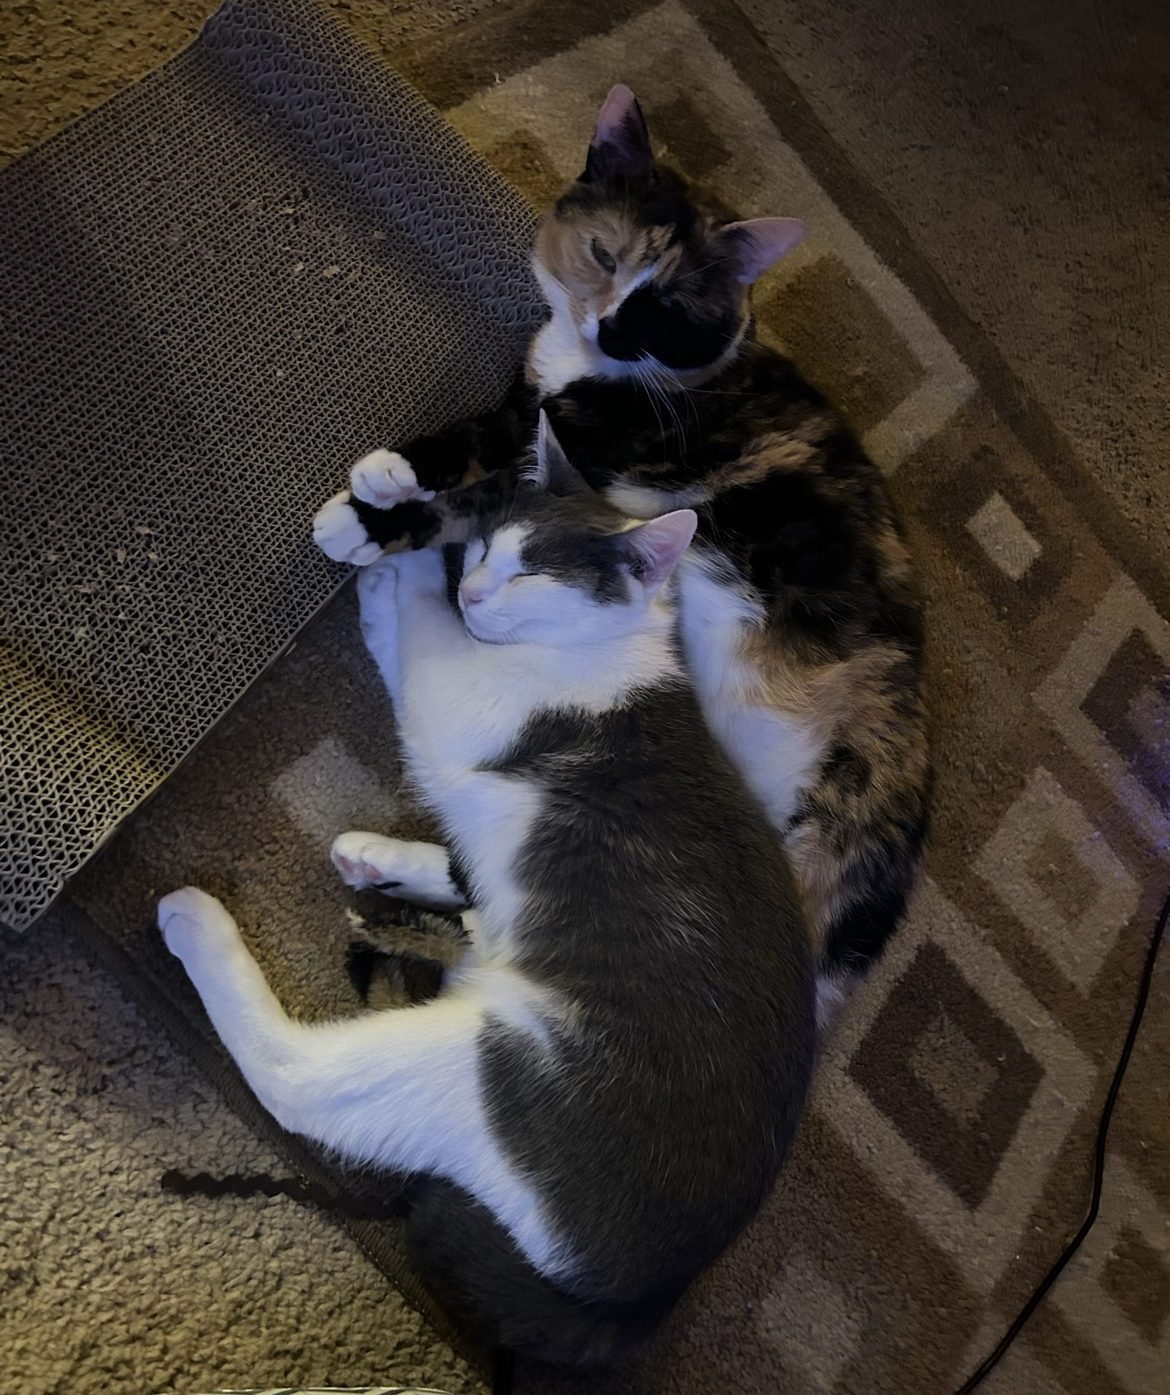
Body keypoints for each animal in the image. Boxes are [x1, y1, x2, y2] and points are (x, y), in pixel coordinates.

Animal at [155, 424, 814, 1361]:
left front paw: (395, 561)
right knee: (467, 904)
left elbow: (430, 645)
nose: (468, 581)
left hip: (496, 1069)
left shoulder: (474, 703)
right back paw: (383, 863)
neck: (605, 650)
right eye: (491, 548)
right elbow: (421, 657)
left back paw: (197, 924)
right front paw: (395, 565)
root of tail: (647, 1298)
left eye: (531, 569)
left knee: (298, 1077)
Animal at [313, 87, 931, 1026]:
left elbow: (481, 489)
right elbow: (478, 436)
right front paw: (389, 478)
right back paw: (380, 866)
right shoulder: (533, 410)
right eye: (605, 254)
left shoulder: (593, 459)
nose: (609, 324)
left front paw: (367, 515)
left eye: (665, 306)